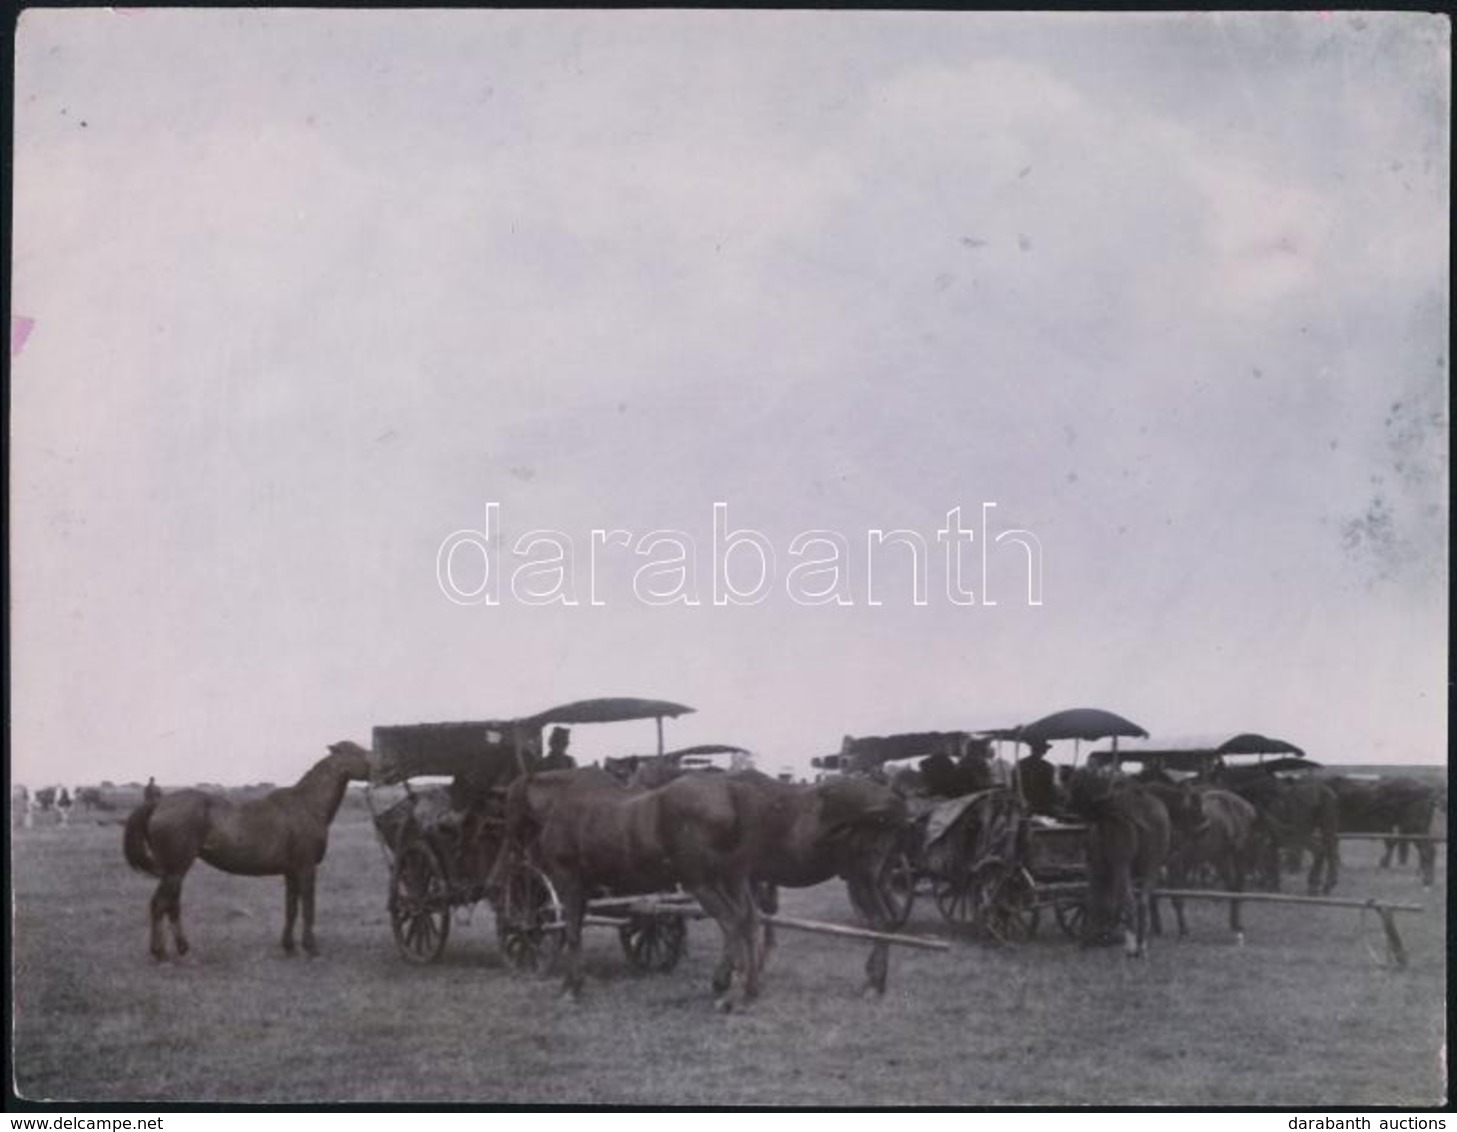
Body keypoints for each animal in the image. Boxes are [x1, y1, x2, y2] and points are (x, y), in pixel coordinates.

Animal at [123, 743, 372, 961]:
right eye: (358, 752)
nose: (378, 767)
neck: (307, 805)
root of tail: (159, 804)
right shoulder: (306, 869)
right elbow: (308, 908)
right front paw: (312, 949)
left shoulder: (291, 872)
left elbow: (291, 908)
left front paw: (289, 947)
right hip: (176, 869)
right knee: (160, 905)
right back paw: (161, 953)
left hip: (175, 871)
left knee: (171, 906)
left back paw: (181, 948)